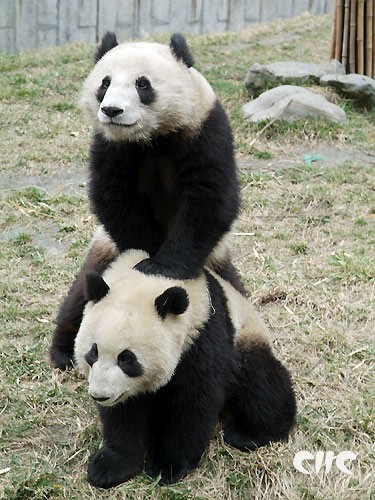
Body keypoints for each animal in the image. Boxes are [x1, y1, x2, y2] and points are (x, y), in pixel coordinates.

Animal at [50, 30, 244, 368]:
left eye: (143, 84)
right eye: (105, 82)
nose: (112, 111)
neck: (151, 138)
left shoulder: (205, 130)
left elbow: (209, 200)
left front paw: (160, 268)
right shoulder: (110, 145)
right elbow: (115, 200)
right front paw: (143, 263)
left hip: (215, 258)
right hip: (104, 249)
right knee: (80, 295)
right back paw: (63, 351)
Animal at [74, 246, 296, 488]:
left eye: (126, 359)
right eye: (93, 352)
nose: (100, 395)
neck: (147, 281)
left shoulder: (203, 336)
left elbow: (193, 402)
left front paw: (167, 465)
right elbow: (124, 413)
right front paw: (111, 466)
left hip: (244, 338)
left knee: (259, 384)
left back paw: (251, 433)